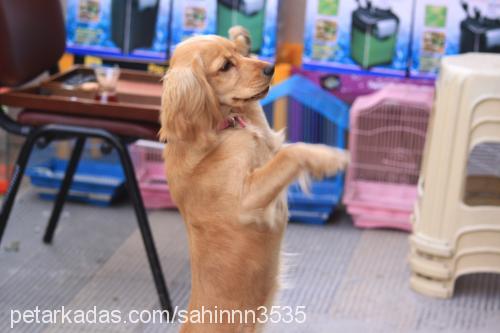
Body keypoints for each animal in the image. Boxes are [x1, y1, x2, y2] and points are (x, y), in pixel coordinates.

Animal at [160, 28, 348, 332]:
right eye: (225, 66)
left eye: (237, 56)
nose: (270, 68)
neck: (219, 130)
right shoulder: (247, 202)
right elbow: (293, 153)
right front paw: (329, 158)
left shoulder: (267, 137)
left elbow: (259, 115)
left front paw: (240, 36)